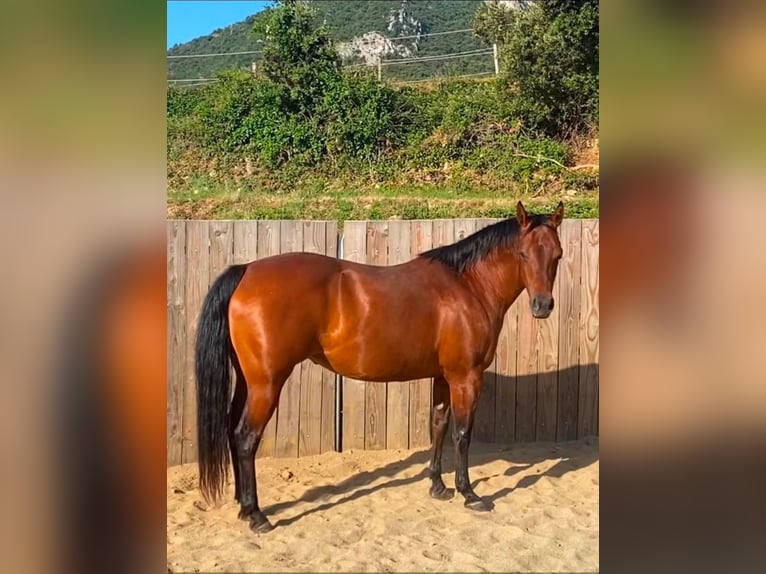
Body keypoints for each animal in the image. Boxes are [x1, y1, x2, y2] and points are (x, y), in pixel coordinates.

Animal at [195, 201, 565, 533]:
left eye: (557, 255)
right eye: (523, 254)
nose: (543, 306)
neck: (468, 286)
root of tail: (246, 271)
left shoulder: (443, 376)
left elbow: (439, 425)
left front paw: (438, 486)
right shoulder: (466, 377)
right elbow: (462, 433)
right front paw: (469, 493)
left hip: (248, 381)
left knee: (231, 431)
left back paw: (243, 507)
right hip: (267, 384)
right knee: (245, 437)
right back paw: (257, 515)